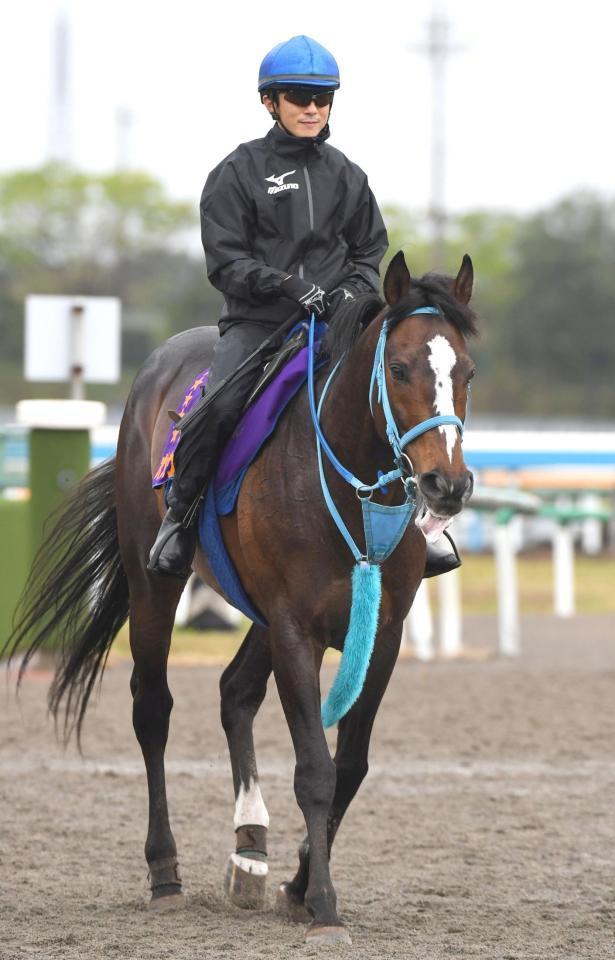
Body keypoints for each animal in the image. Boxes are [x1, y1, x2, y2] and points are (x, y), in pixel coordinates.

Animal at [2, 249, 478, 944]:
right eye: (399, 367)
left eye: (466, 370)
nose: (447, 484)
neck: (349, 485)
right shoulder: (295, 629)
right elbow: (315, 769)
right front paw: (324, 904)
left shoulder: (381, 634)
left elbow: (350, 765)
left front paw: (299, 885)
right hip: (156, 584)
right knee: (153, 709)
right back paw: (165, 873)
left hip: (258, 614)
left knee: (234, 692)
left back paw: (250, 848)